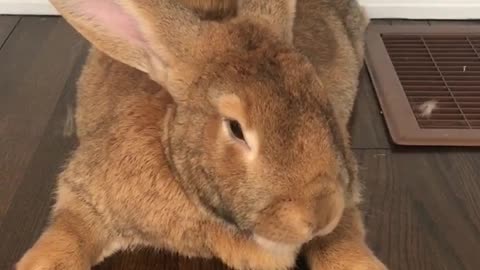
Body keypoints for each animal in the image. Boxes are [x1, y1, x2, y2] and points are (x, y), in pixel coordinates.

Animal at [17, 0, 386, 268]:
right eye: (235, 128)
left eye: (321, 94)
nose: (322, 213)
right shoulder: (85, 197)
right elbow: (67, 235)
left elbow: (342, 242)